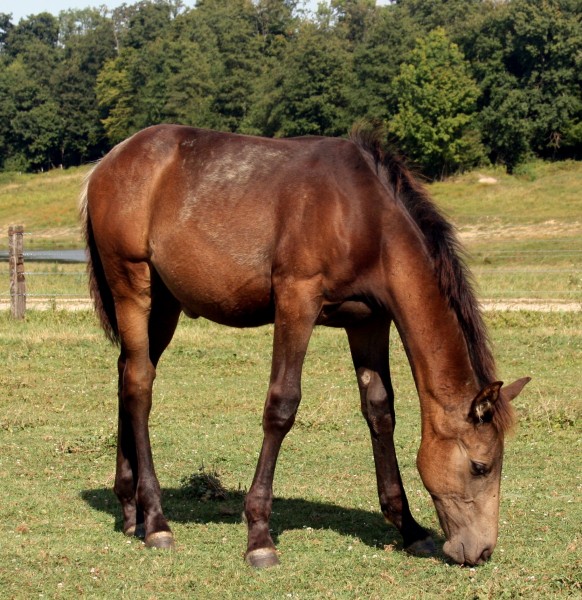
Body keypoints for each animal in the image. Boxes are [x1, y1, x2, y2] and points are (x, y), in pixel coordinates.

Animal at [80, 125, 532, 568]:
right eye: (480, 466)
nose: (481, 551)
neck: (363, 216)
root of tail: (106, 164)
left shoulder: (368, 321)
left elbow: (380, 410)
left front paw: (408, 527)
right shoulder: (297, 301)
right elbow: (282, 406)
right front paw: (259, 536)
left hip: (164, 306)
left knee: (127, 375)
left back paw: (130, 509)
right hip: (132, 288)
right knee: (139, 385)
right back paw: (157, 521)